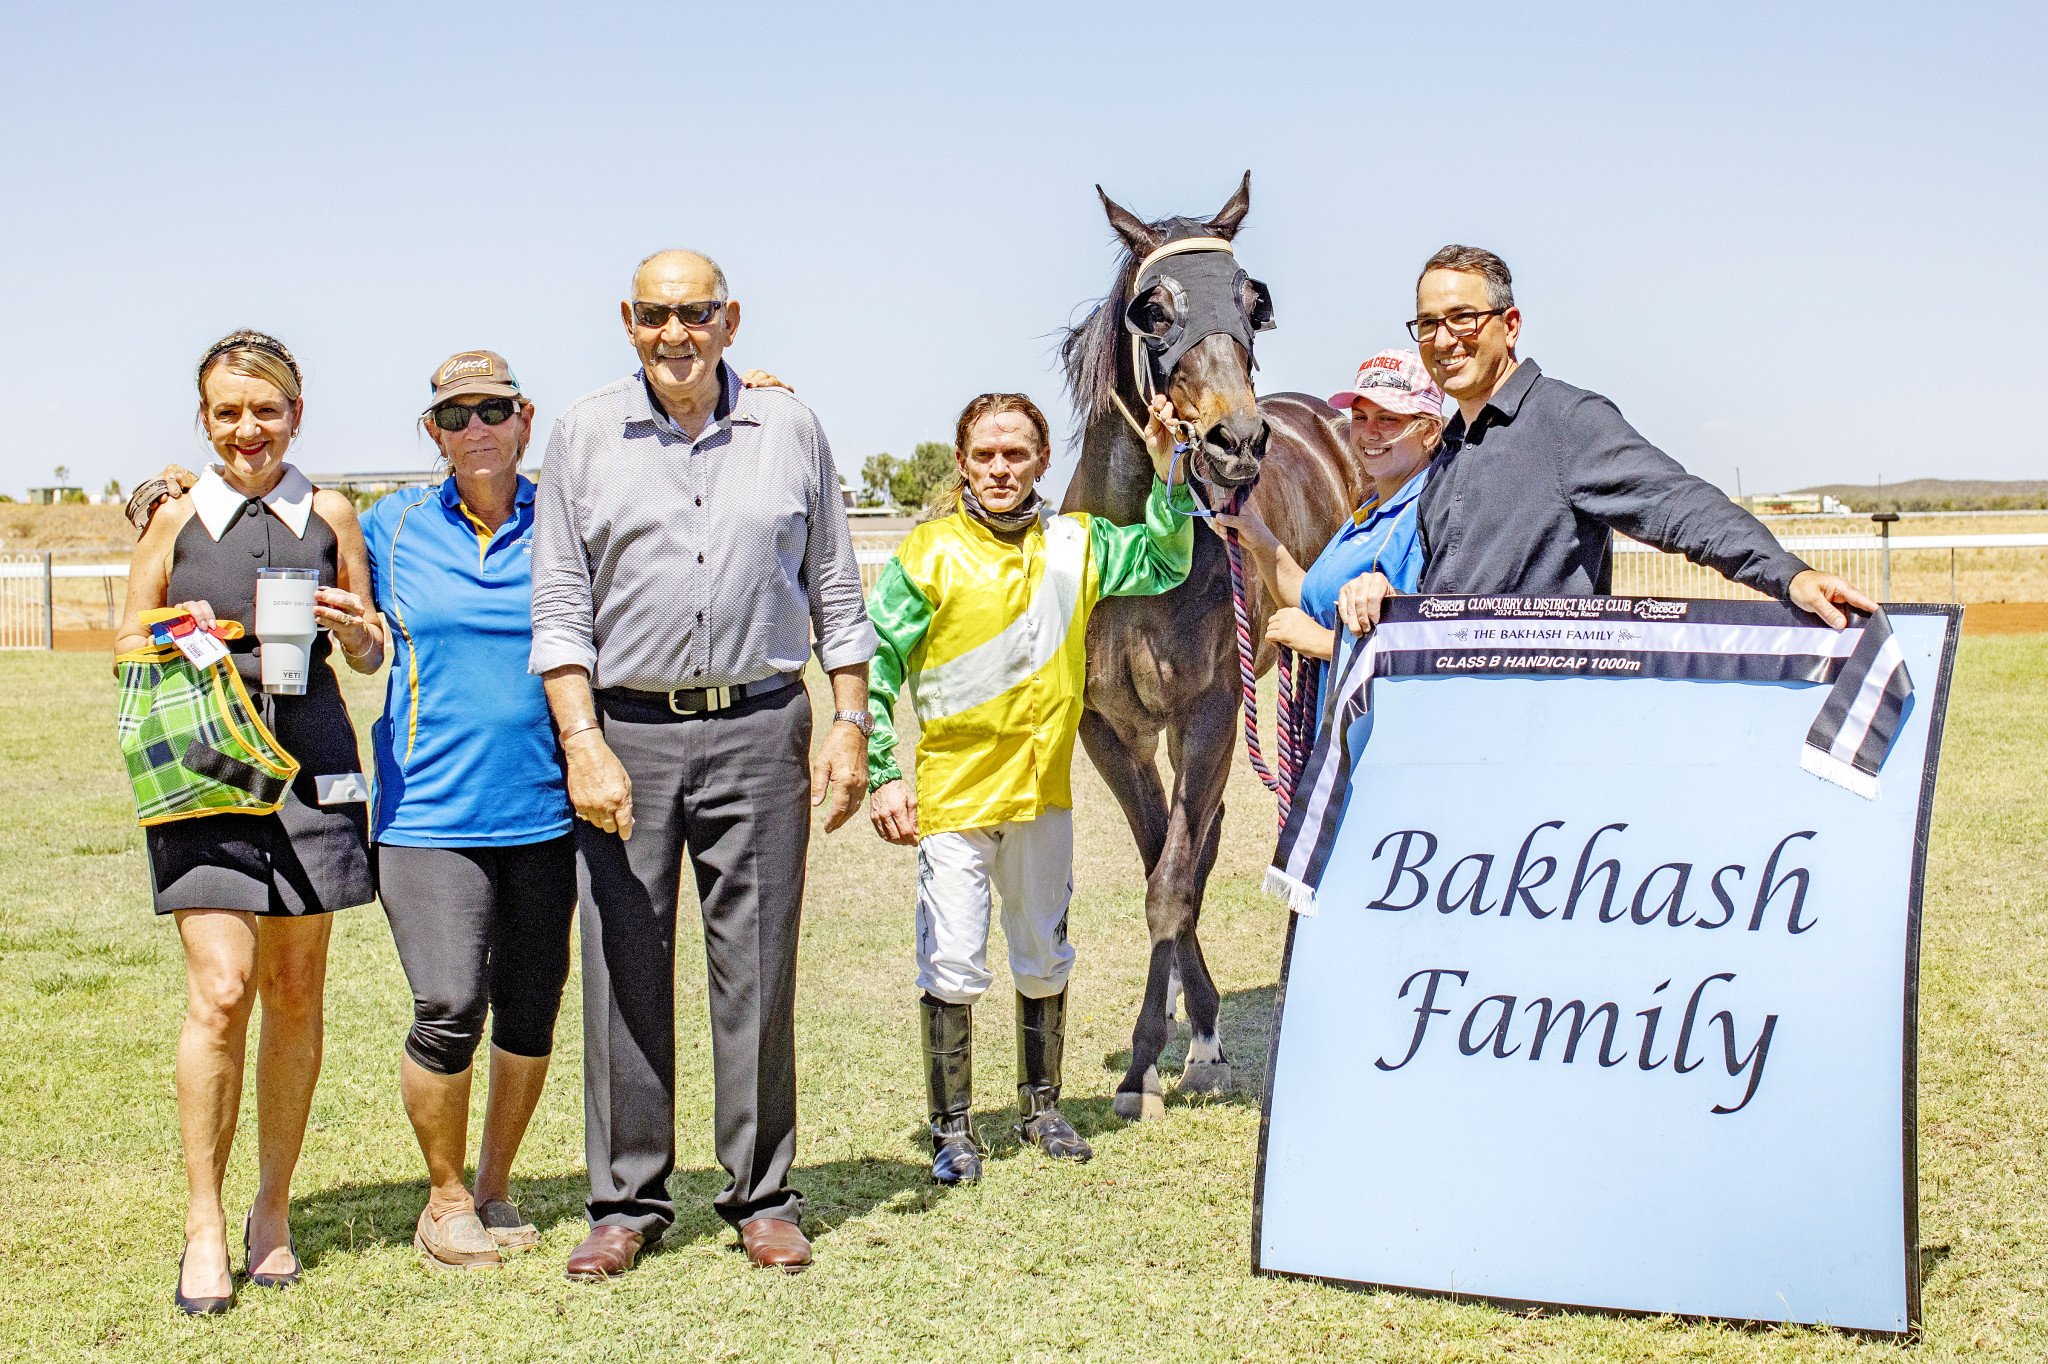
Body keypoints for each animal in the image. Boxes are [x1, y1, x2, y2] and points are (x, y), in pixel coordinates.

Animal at [1056, 173, 1359, 1114]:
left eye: (1254, 304)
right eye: (1153, 310)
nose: (1239, 442)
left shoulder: (1212, 712)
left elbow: (1174, 883)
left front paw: (1159, 1053)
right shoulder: (1111, 730)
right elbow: (1168, 865)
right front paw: (1173, 1045)